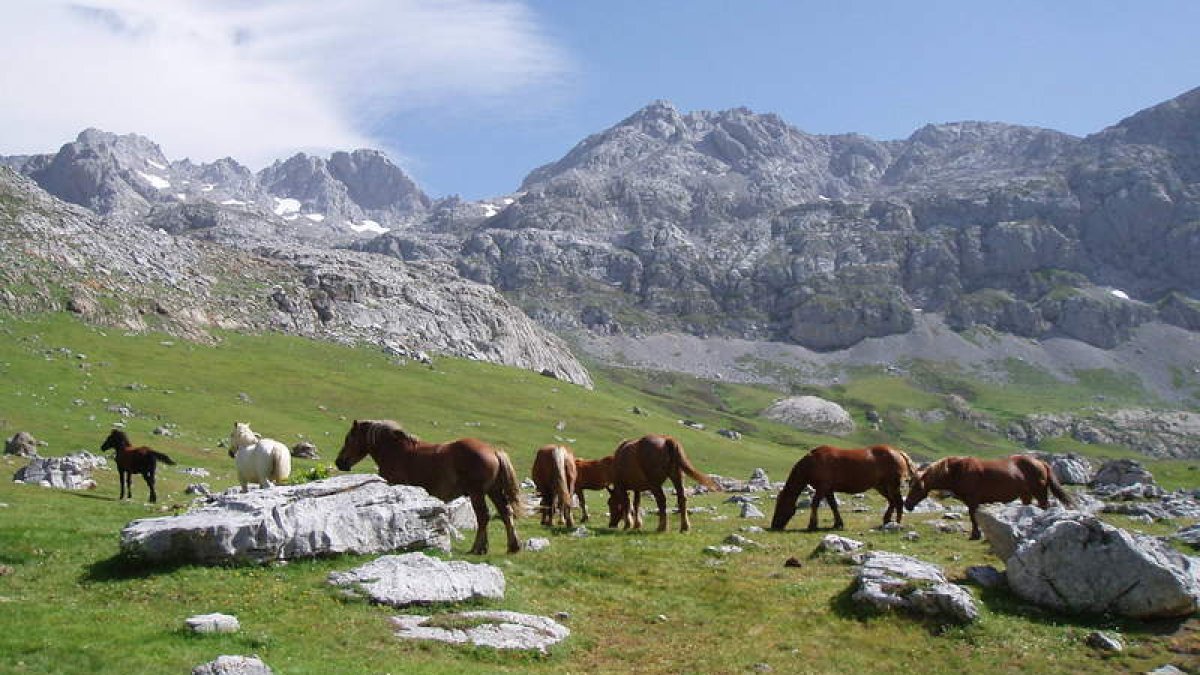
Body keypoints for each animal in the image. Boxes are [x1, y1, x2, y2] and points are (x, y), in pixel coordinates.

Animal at [335, 420, 523, 554]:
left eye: (348, 439)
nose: (339, 462)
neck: (396, 451)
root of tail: (494, 451)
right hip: (493, 491)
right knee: (506, 513)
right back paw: (512, 546)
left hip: (477, 493)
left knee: (483, 517)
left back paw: (478, 549)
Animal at [770, 445, 916, 532]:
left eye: (780, 506)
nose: (774, 526)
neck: (811, 463)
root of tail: (898, 452)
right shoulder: (828, 490)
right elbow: (833, 506)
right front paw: (838, 523)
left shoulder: (822, 488)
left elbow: (815, 504)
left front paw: (812, 525)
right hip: (881, 486)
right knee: (892, 502)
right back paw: (887, 521)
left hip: (892, 485)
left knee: (898, 502)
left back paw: (896, 524)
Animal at [905, 454, 1074, 540]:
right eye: (909, 484)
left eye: (917, 487)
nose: (907, 505)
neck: (957, 471)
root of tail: (1041, 462)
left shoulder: (972, 500)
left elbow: (973, 517)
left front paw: (975, 535)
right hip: (1026, 494)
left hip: (1039, 492)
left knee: (1045, 506)